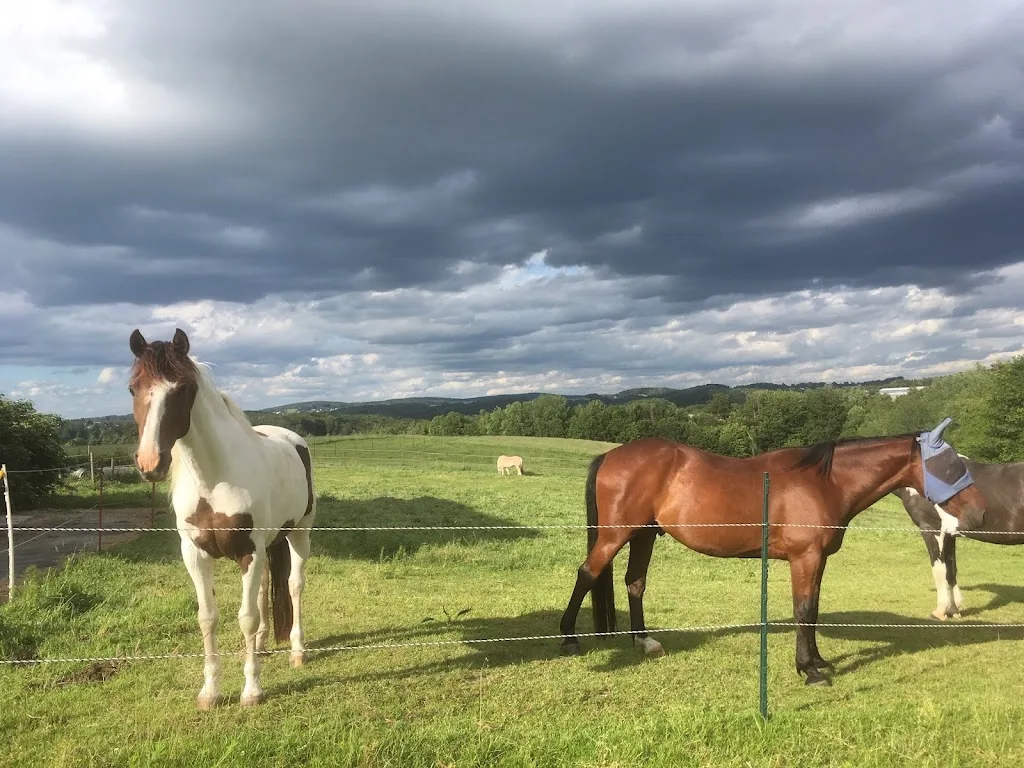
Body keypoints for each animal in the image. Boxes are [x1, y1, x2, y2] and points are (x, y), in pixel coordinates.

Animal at [127, 328, 316, 709]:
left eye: (182, 388)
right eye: (133, 389)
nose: (151, 463)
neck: (213, 479)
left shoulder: (249, 552)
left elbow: (245, 618)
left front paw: (252, 691)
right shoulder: (196, 554)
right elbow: (208, 618)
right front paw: (210, 692)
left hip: (299, 534)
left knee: (294, 585)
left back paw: (297, 651)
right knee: (265, 588)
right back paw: (263, 644)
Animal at [558, 419, 987, 686]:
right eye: (951, 466)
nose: (980, 514)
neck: (824, 481)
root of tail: (612, 455)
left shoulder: (817, 560)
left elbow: (813, 610)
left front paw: (818, 661)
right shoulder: (804, 558)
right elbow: (802, 610)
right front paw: (809, 671)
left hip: (644, 535)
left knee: (635, 583)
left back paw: (645, 642)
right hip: (615, 535)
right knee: (587, 573)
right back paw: (569, 639)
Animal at [893, 456, 1024, 620]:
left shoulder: (931, 528)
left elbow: (939, 570)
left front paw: (939, 611)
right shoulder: (949, 534)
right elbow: (951, 569)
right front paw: (953, 610)